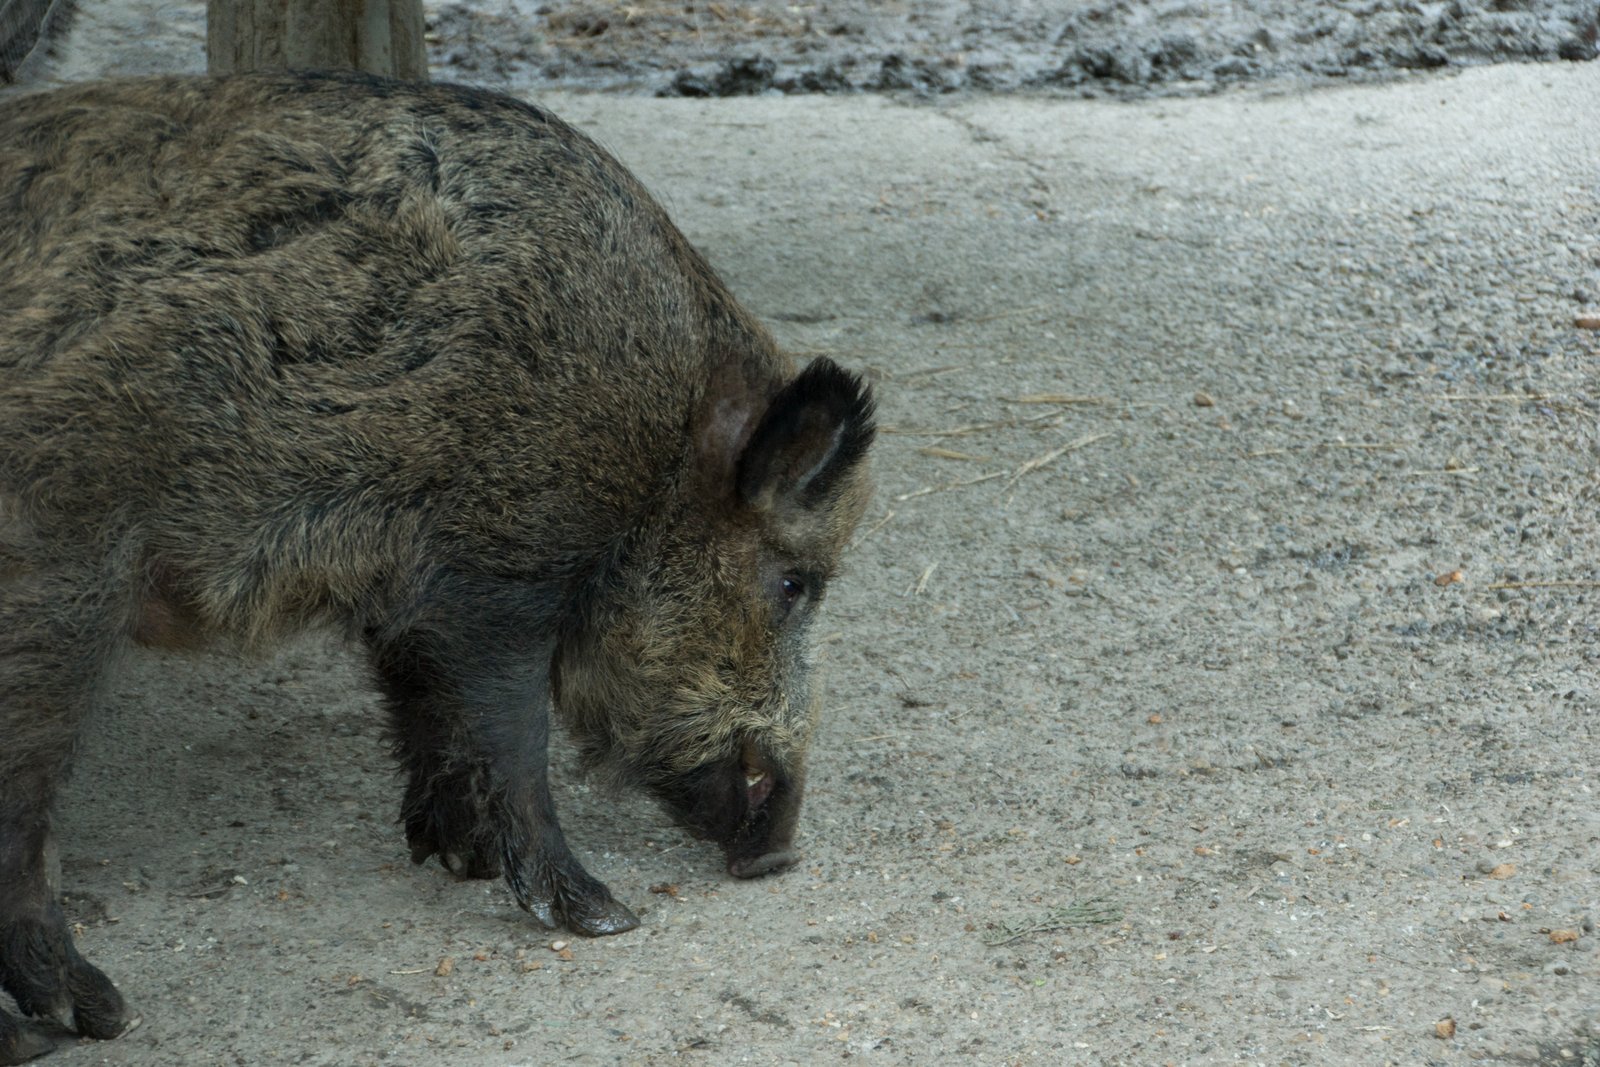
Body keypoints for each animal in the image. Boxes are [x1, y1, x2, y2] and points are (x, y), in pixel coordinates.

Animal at [0, 70, 874, 1061]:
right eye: (794, 583)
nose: (781, 852)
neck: (656, 444)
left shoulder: (404, 589)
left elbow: (423, 708)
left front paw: (460, 858)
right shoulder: (504, 563)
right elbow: (512, 735)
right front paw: (605, 915)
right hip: (55, 580)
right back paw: (92, 1016)